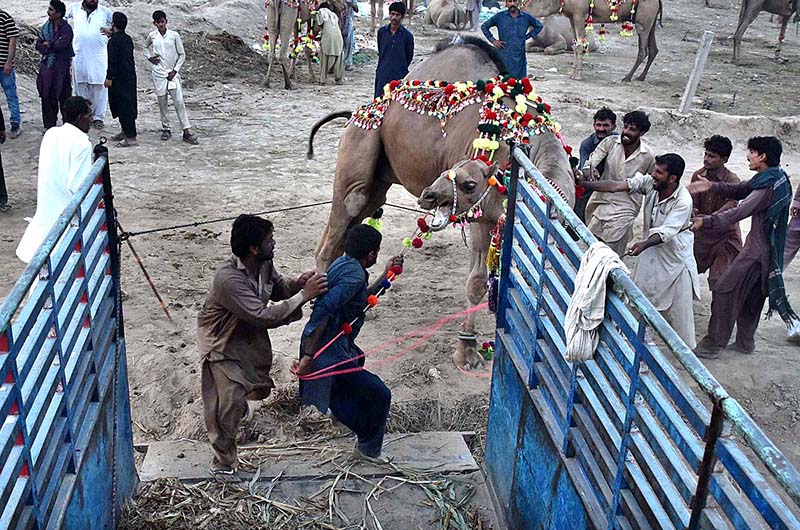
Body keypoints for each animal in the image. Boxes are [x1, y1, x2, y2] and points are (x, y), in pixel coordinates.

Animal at [306, 36, 576, 368]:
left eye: (468, 182)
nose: (430, 194)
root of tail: (355, 112)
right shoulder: (482, 213)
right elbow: (476, 282)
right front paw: (466, 352)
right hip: (361, 140)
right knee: (343, 218)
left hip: (380, 179)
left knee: (350, 223)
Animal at [524, 0, 664, 80]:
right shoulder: (572, 16)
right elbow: (575, 45)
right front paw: (571, 73)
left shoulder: (580, 14)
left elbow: (579, 45)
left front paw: (577, 76)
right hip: (650, 20)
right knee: (654, 49)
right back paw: (641, 77)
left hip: (644, 19)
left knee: (643, 50)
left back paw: (627, 78)